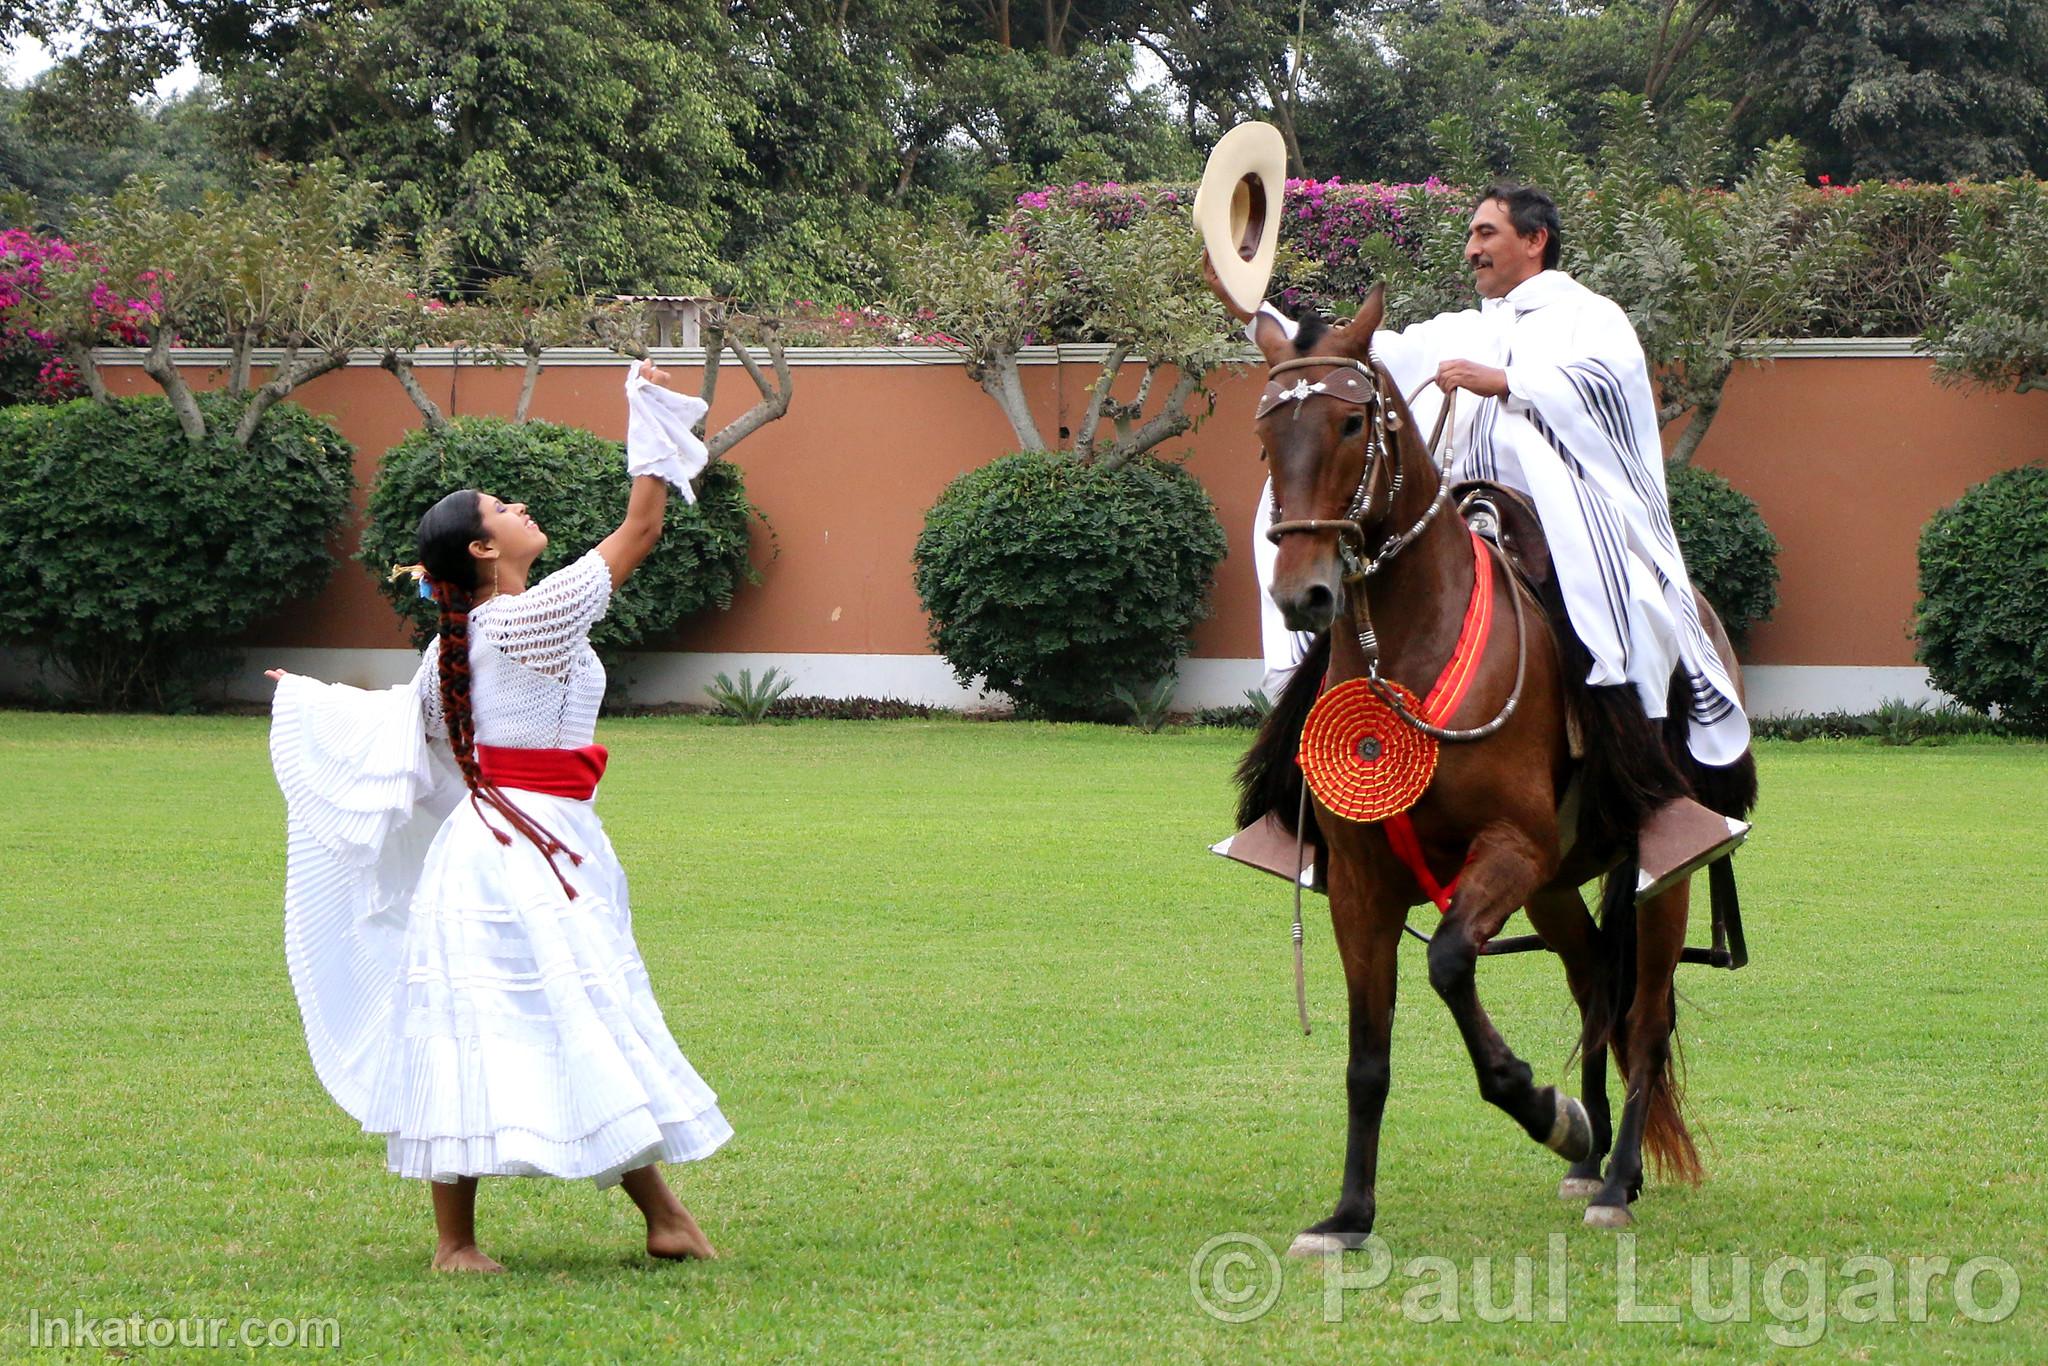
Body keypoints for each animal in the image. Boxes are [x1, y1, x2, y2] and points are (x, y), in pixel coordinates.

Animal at [1228, 290, 1761, 1253]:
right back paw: (1595, 1156)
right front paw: (1349, 1215)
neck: (1412, 647)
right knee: (1596, 989)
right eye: (1266, 436)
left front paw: (1541, 1107)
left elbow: (1447, 963)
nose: (1303, 595)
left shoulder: (1509, 847)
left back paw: (1614, 1179)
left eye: (1353, 421)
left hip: (1656, 877)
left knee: (1645, 1015)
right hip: (1554, 888)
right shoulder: (1364, 883)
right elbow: (1367, 1054)